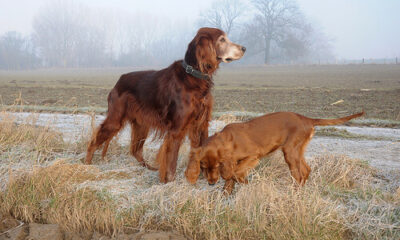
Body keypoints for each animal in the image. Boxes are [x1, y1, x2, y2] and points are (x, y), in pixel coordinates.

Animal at [186, 111, 364, 194]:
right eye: (203, 167)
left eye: (217, 166)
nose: (211, 183)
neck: (228, 139)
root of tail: (306, 119)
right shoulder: (233, 161)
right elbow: (230, 178)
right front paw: (225, 195)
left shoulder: (253, 156)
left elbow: (235, 174)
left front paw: (245, 184)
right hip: (297, 151)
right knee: (306, 170)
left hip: (290, 152)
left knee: (299, 174)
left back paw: (294, 193)